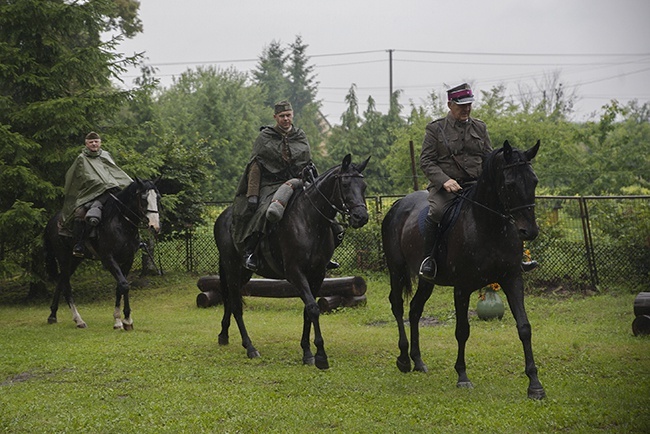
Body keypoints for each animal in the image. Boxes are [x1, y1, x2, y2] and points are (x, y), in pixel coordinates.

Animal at [44, 178, 161, 330]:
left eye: (158, 197)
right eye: (143, 198)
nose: (155, 226)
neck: (121, 224)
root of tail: (52, 220)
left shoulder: (128, 260)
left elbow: (120, 286)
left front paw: (122, 320)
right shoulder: (108, 259)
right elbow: (124, 285)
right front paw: (123, 320)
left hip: (75, 260)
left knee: (61, 281)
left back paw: (52, 315)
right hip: (63, 257)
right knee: (66, 286)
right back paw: (78, 320)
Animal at [215, 154, 368, 368]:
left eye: (364, 186)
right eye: (345, 184)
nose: (361, 217)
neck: (309, 221)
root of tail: (223, 216)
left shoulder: (317, 274)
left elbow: (307, 310)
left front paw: (307, 352)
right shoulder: (296, 273)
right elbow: (313, 308)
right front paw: (320, 356)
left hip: (242, 273)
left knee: (230, 300)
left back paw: (224, 335)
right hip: (232, 269)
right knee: (236, 305)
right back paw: (250, 347)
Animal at [380, 142, 540, 400]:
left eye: (534, 181)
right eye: (510, 184)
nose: (530, 231)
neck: (489, 225)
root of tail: (397, 205)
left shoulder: (512, 279)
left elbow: (524, 327)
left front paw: (535, 384)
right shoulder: (462, 288)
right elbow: (462, 330)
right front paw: (462, 376)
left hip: (427, 280)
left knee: (414, 309)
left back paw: (418, 361)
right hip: (396, 270)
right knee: (398, 306)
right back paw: (404, 359)